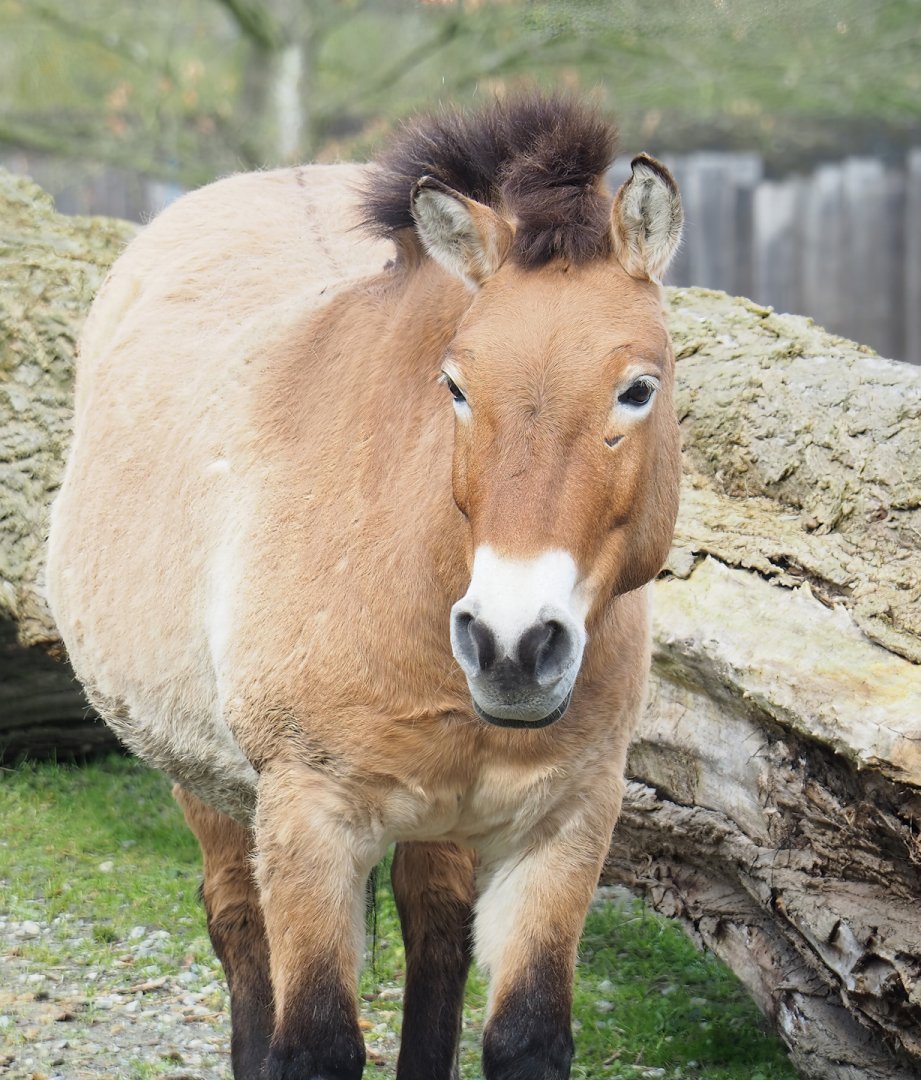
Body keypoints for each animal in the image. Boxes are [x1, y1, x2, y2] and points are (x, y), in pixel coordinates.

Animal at [46, 95, 683, 1080]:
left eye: (637, 389)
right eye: (455, 385)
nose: (509, 646)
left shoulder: (564, 824)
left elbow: (525, 1033)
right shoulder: (310, 821)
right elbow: (312, 1040)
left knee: (434, 923)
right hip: (204, 784)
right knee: (238, 925)